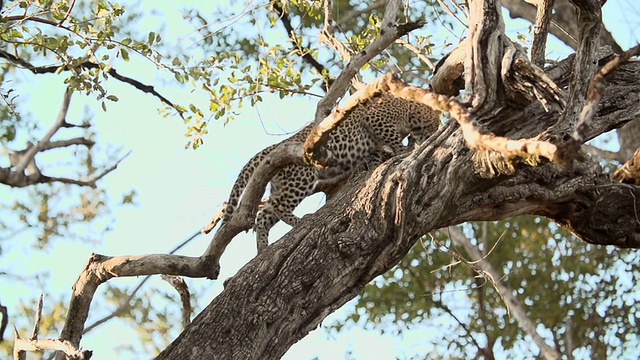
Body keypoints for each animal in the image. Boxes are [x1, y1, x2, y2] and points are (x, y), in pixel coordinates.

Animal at [221, 92, 440, 253]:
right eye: (434, 123)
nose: (435, 132)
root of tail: (275, 147)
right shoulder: (376, 120)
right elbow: (392, 138)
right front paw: (404, 150)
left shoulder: (374, 144)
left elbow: (375, 156)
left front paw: (378, 162)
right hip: (302, 177)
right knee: (278, 204)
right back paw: (300, 221)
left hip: (282, 184)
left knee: (264, 215)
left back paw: (263, 248)